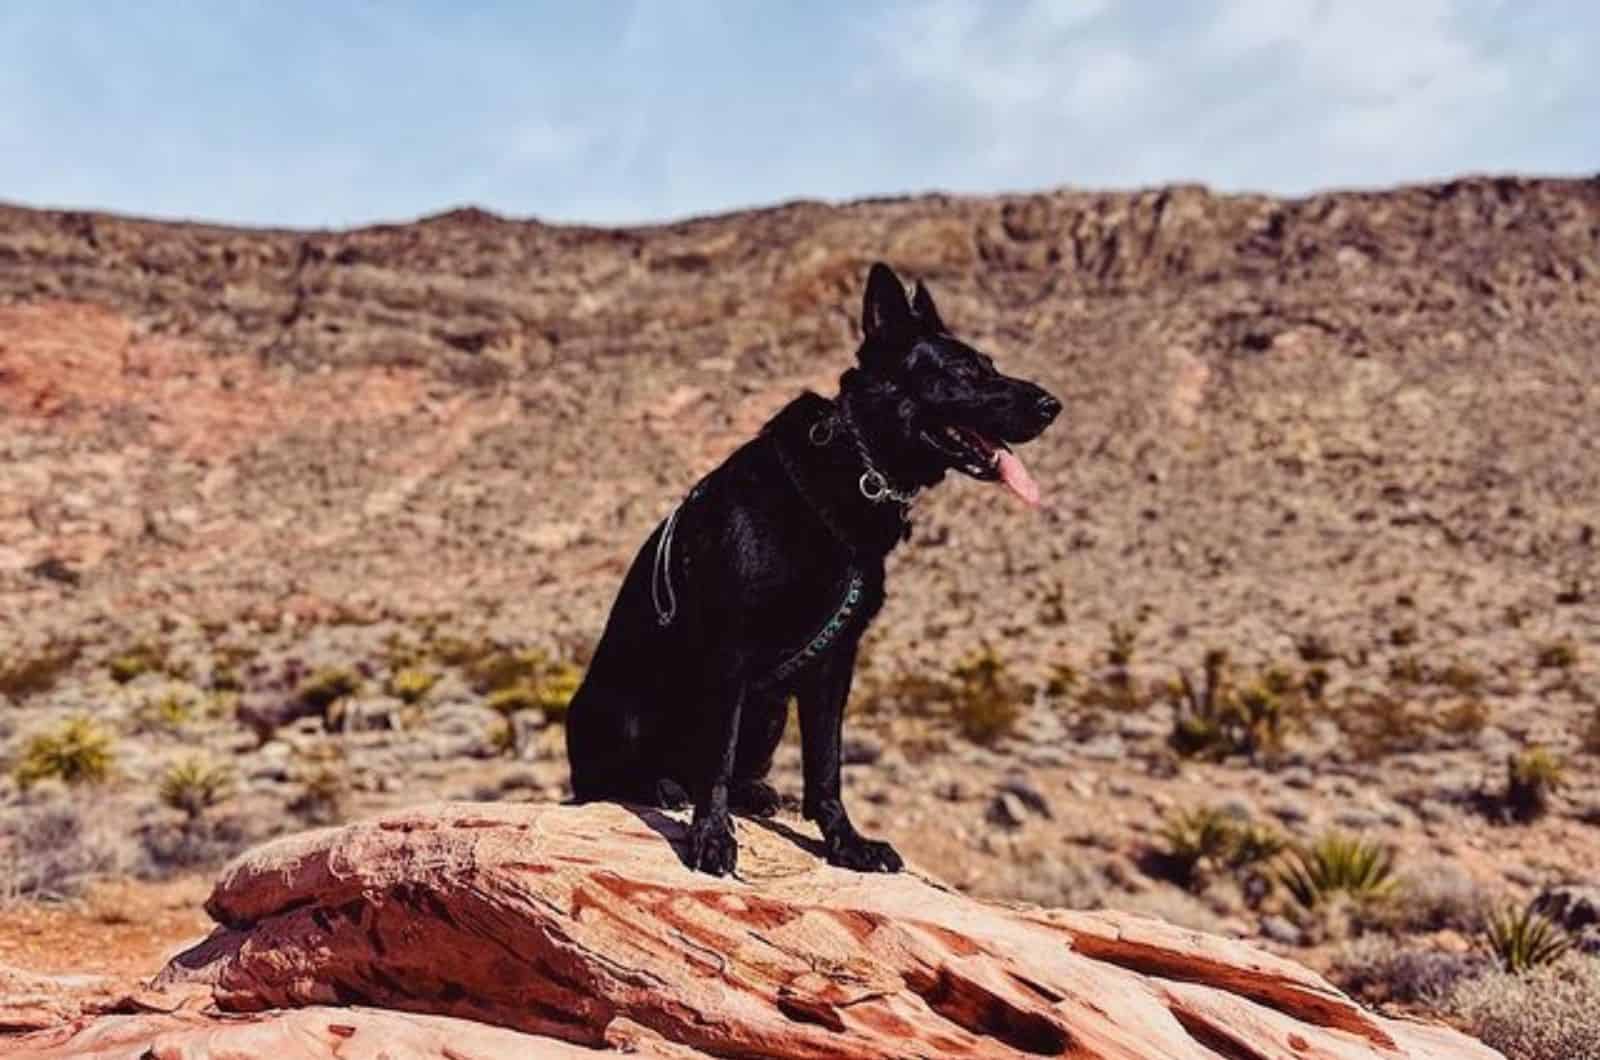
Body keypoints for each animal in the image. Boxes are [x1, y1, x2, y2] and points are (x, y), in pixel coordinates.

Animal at [566, 260, 1062, 877]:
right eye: (966, 370)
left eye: (991, 364)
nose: (1052, 405)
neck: (856, 467)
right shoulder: (729, 656)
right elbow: (716, 762)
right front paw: (711, 836)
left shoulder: (834, 666)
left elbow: (825, 768)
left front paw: (846, 843)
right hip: (623, 709)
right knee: (612, 780)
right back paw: (660, 787)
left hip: (769, 711)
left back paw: (750, 792)